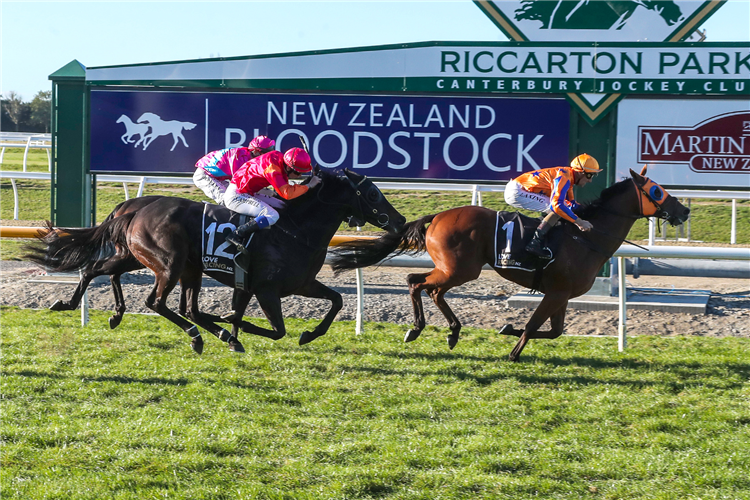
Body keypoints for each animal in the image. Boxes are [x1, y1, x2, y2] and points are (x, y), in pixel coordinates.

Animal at [25, 170, 406, 354]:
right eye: (373, 193)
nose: (400, 220)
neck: (295, 229)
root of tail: (134, 207)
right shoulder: (267, 289)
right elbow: (276, 329)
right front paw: (235, 328)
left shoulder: (297, 283)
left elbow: (337, 300)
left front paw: (309, 334)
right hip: (170, 263)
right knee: (157, 302)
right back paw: (197, 337)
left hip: (146, 258)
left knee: (99, 270)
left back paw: (88, 308)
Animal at [332, 167, 692, 360]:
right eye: (657, 191)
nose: (685, 210)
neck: (587, 239)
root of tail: (438, 216)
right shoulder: (556, 292)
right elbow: (535, 326)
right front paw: (514, 352)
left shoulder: (562, 295)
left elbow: (555, 331)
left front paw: (508, 330)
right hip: (460, 269)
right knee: (417, 283)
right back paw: (420, 329)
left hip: (454, 269)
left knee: (426, 287)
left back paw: (450, 331)